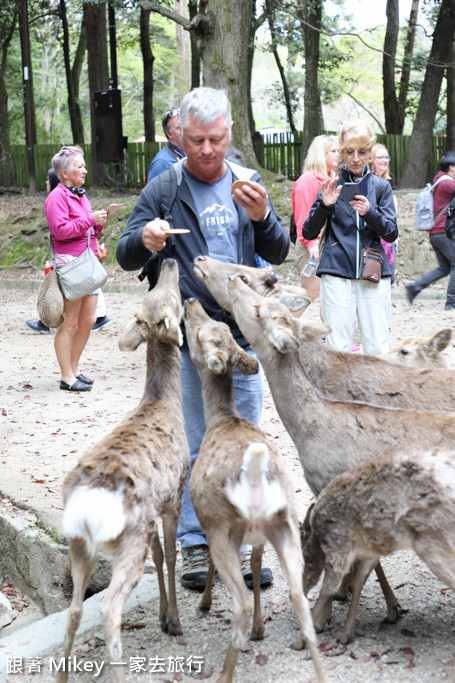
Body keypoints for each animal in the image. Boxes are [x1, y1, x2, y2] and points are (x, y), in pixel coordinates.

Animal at [56, 260, 191, 680]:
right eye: (171, 297)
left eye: (157, 294)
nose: (170, 261)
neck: (163, 400)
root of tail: (87, 503)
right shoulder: (174, 494)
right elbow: (172, 555)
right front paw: (173, 620)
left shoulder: (154, 508)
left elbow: (161, 556)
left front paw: (163, 614)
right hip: (126, 536)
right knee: (107, 606)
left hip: (80, 543)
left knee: (75, 608)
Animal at [182, 300, 328, 683]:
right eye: (217, 324)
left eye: (200, 332)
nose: (190, 302)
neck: (222, 419)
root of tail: (255, 475)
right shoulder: (259, 537)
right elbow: (259, 563)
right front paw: (262, 630)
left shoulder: (213, 525)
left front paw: (205, 603)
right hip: (285, 523)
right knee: (298, 596)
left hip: (225, 527)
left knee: (241, 603)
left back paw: (224, 672)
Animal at [302, 448, 455, 668]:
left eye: (302, 559)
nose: (300, 591)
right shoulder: (369, 551)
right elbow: (360, 580)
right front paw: (347, 632)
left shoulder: (339, 547)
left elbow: (328, 588)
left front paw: (305, 636)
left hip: (434, 544)